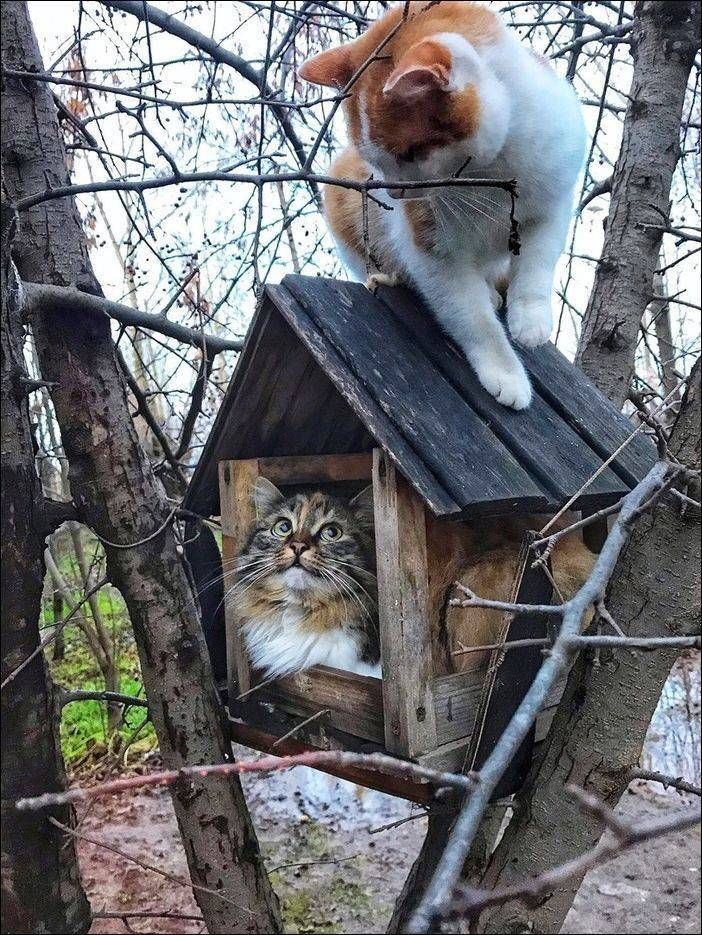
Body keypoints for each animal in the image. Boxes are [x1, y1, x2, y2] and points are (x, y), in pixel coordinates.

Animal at [300, 0, 584, 410]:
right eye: (375, 160)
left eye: (409, 153)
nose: (396, 194)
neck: (493, 170)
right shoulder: (431, 252)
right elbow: (471, 317)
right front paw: (505, 372)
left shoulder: (553, 204)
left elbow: (537, 263)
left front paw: (530, 319)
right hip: (344, 204)